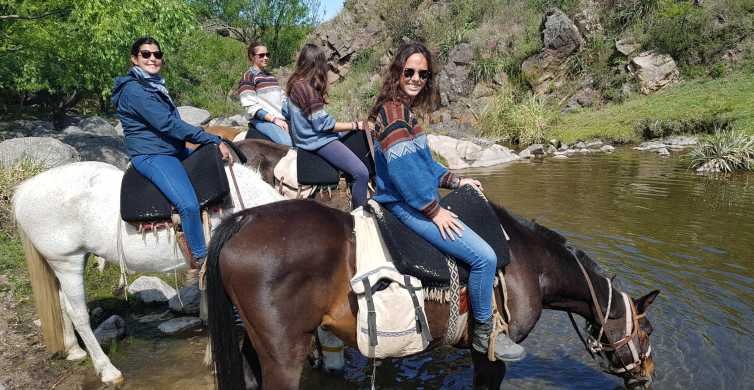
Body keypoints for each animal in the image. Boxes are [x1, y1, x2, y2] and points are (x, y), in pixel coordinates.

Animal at [13, 161, 284, 384]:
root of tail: (23, 191)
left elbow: (209, 313)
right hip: (66, 261)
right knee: (77, 313)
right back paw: (108, 371)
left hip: (69, 262)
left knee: (61, 303)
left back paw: (74, 350)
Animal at [206, 200, 656, 388]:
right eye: (648, 331)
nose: (648, 376)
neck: (532, 262)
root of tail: (243, 220)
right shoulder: (491, 351)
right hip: (285, 354)